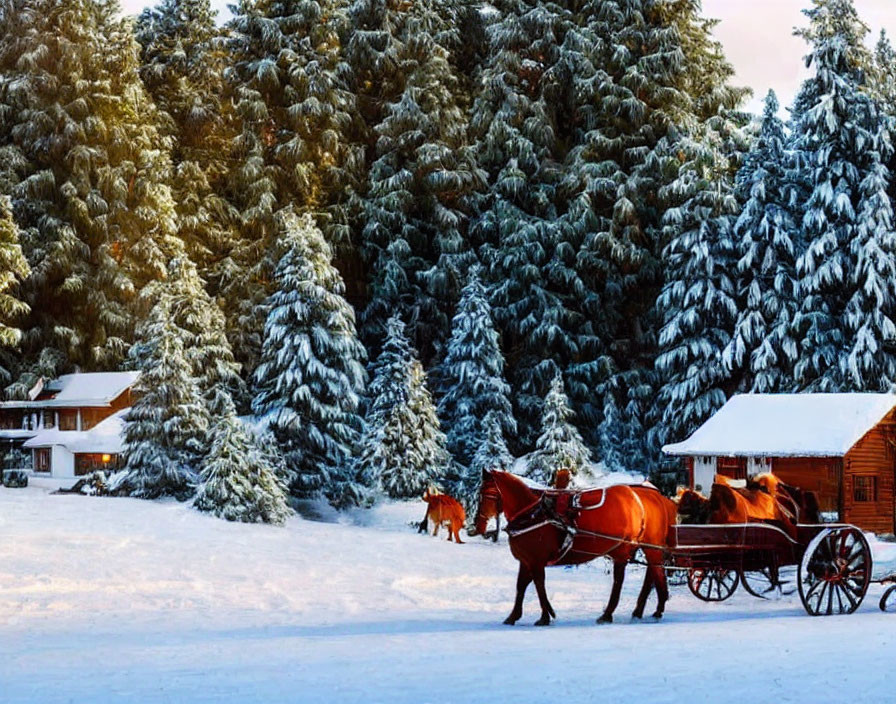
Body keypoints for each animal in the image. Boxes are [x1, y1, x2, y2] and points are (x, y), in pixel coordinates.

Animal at [486, 470, 676, 624]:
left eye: (490, 492)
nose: (483, 523)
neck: (533, 515)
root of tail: (655, 497)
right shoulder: (526, 562)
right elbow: (521, 586)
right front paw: (514, 616)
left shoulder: (536, 561)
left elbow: (539, 586)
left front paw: (545, 616)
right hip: (640, 547)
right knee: (651, 573)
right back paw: (642, 610)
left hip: (638, 548)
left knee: (631, 578)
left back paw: (615, 613)